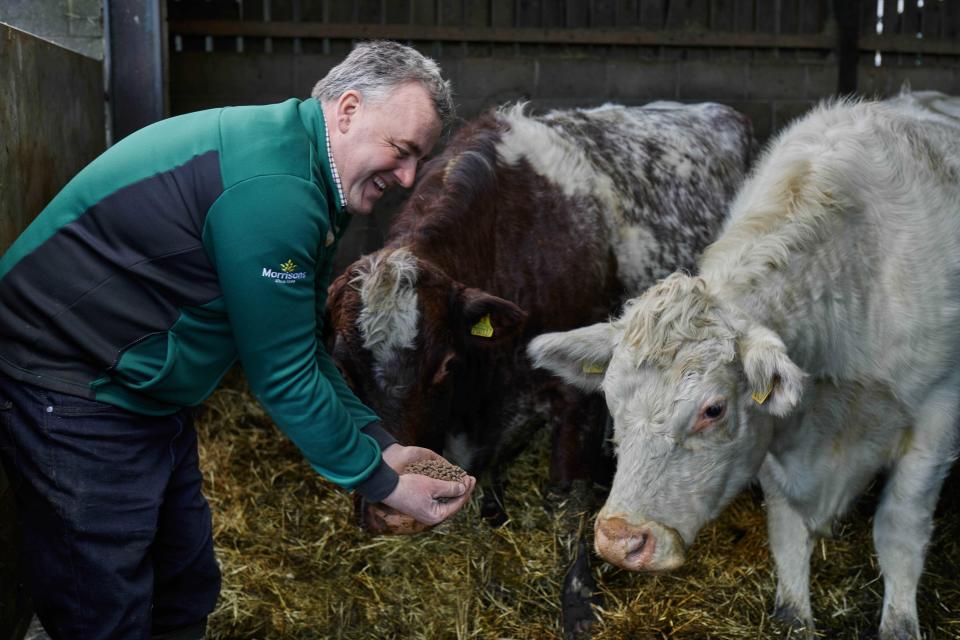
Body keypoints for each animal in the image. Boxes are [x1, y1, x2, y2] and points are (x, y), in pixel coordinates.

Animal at [326, 100, 752, 636]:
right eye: (343, 368)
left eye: (445, 364)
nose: (392, 514)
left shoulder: (580, 399)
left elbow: (568, 503)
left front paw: (579, 603)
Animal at [524, 91, 960, 640]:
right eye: (611, 401)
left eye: (713, 410)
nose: (620, 540)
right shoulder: (773, 436)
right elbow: (786, 529)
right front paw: (793, 615)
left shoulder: (937, 411)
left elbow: (900, 529)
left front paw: (900, 622)